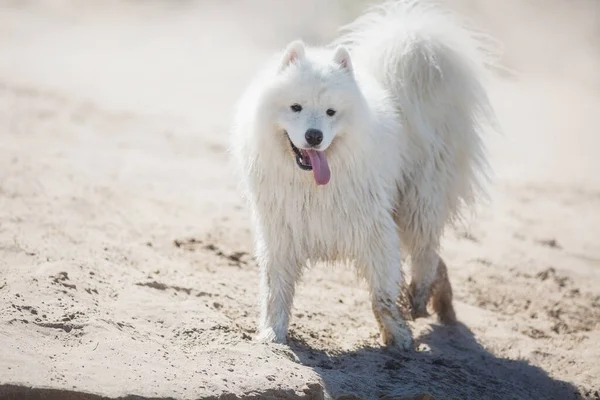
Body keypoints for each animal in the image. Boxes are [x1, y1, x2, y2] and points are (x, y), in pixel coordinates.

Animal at [230, 0, 496, 348]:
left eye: (331, 112)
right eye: (296, 107)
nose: (314, 136)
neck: (312, 186)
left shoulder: (374, 230)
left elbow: (382, 295)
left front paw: (400, 339)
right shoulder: (281, 232)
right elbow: (276, 292)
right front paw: (272, 335)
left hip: (419, 198)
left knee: (425, 250)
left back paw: (423, 295)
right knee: (434, 257)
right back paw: (439, 303)